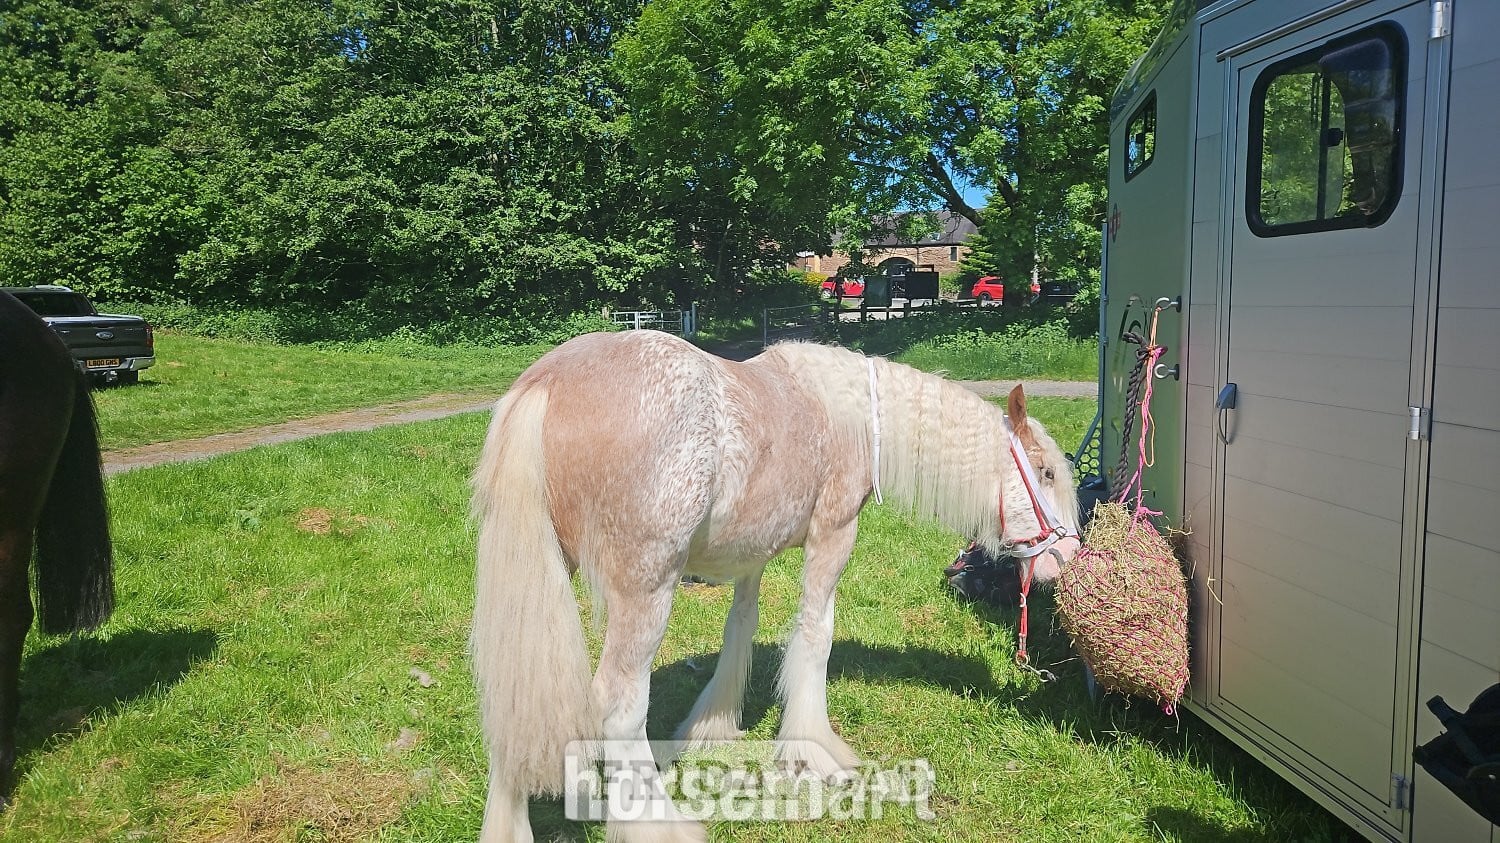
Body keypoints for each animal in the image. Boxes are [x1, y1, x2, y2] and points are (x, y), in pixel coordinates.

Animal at [470, 329, 1082, 842]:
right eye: (1047, 473)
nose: (1067, 560)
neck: (847, 415)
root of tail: (550, 381)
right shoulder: (834, 535)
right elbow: (815, 634)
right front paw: (814, 751)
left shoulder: (751, 557)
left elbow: (741, 628)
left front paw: (713, 725)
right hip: (647, 590)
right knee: (619, 706)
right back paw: (660, 824)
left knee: (516, 696)